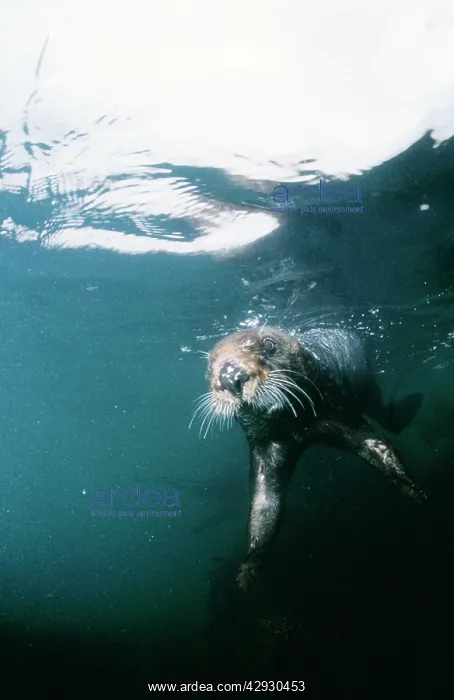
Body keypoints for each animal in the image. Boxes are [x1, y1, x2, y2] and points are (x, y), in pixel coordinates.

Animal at [192, 327, 425, 592]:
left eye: (269, 345)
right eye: (209, 365)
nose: (230, 376)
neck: (296, 424)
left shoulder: (337, 410)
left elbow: (375, 444)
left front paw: (414, 491)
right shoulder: (266, 445)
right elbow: (264, 502)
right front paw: (249, 569)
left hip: (368, 388)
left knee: (383, 412)